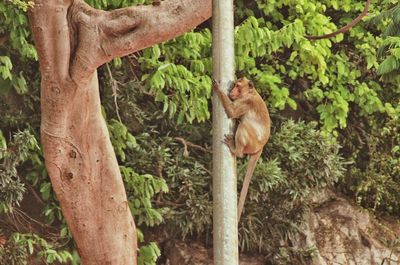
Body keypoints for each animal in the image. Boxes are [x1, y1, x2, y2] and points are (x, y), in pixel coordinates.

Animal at [212, 77, 272, 220]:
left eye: (238, 86)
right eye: (234, 85)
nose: (232, 91)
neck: (250, 93)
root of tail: (261, 147)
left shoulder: (246, 102)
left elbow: (232, 112)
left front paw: (218, 88)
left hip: (253, 141)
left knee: (244, 125)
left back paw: (236, 151)